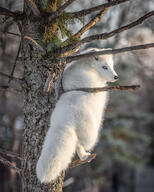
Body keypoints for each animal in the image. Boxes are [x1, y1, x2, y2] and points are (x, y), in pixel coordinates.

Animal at [35, 48, 118, 183]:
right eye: (104, 67)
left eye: (111, 65)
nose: (116, 77)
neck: (89, 67)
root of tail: (65, 119)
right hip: (92, 132)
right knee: (84, 143)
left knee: (77, 144)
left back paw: (84, 157)